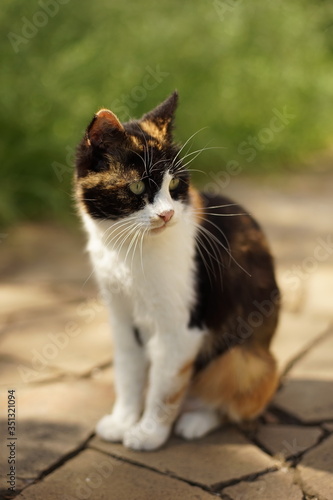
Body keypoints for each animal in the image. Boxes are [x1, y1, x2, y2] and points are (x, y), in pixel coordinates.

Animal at [74, 92, 278, 452]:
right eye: (137, 187)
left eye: (176, 184)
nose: (167, 214)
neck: (129, 251)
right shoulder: (121, 319)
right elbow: (127, 373)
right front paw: (123, 422)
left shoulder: (180, 331)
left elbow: (165, 388)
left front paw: (148, 433)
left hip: (246, 361)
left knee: (231, 398)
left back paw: (195, 420)